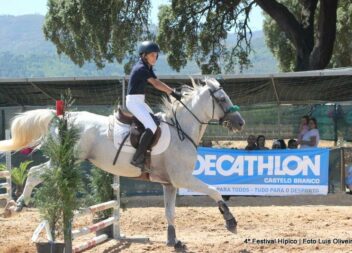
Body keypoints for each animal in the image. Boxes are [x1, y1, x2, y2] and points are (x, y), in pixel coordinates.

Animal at [0, 78, 245, 248]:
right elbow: (214, 191)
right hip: (67, 159)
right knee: (34, 172)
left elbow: (170, 213)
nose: (240, 123)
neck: (181, 130)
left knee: (37, 172)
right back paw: (18, 205)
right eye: (222, 99)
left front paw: (174, 241)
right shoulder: (182, 178)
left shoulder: (169, 184)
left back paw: (18, 206)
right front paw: (231, 221)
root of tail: (61, 117)